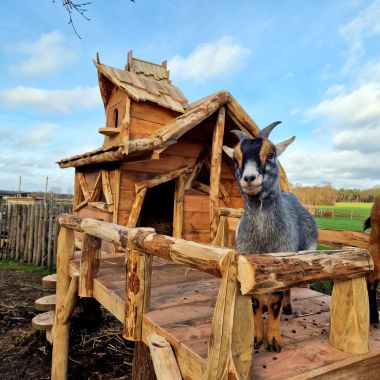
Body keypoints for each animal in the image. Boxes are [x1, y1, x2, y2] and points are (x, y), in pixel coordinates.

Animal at [223, 121, 318, 350]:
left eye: (271, 154)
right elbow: (256, 303)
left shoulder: (281, 263)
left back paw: (288, 307)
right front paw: (257, 338)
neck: (264, 240)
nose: (249, 178)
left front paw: (274, 341)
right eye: (236, 159)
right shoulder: (248, 269)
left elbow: (275, 301)